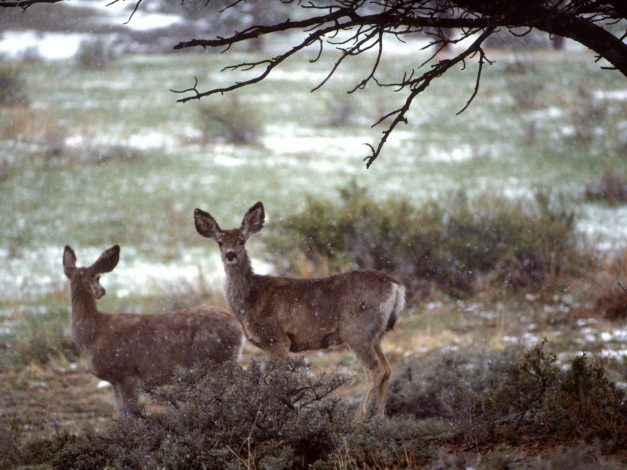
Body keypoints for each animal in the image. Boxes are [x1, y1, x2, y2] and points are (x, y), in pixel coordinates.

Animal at [62, 244, 245, 416]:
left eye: (98, 277)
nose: (102, 291)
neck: (92, 332)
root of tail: (238, 327)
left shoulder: (126, 373)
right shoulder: (114, 380)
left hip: (217, 361)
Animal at [193, 200, 408, 420]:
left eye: (242, 241)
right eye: (220, 242)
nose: (230, 255)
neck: (250, 298)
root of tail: (396, 285)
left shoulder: (276, 339)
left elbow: (274, 382)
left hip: (357, 331)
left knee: (375, 371)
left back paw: (357, 420)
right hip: (376, 335)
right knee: (388, 369)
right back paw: (377, 420)